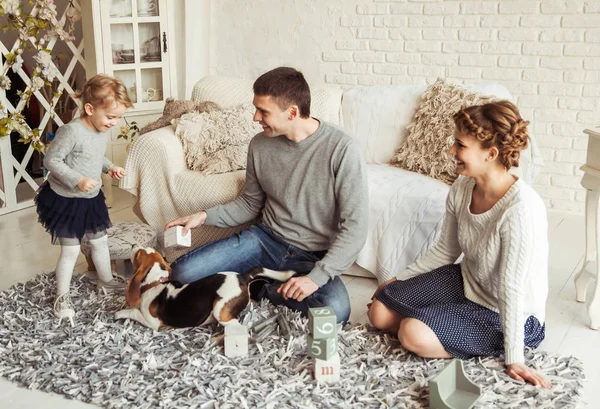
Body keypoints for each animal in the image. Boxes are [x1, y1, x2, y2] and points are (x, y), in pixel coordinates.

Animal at [114, 247, 296, 330]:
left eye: (138, 253)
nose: (133, 244)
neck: (155, 281)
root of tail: (242, 277)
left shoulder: (151, 322)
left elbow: (133, 312)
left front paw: (119, 313)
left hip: (221, 311)